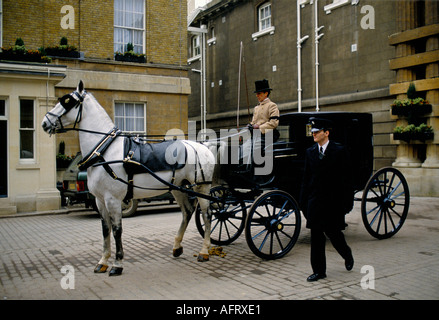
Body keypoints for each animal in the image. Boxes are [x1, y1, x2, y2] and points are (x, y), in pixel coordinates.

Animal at [42, 80, 216, 276]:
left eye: (67, 101)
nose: (45, 122)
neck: (105, 152)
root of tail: (203, 146)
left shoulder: (113, 199)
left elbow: (117, 230)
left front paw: (117, 264)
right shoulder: (100, 200)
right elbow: (105, 229)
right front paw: (103, 261)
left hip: (201, 187)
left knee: (207, 215)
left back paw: (204, 250)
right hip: (178, 188)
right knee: (187, 212)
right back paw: (177, 247)